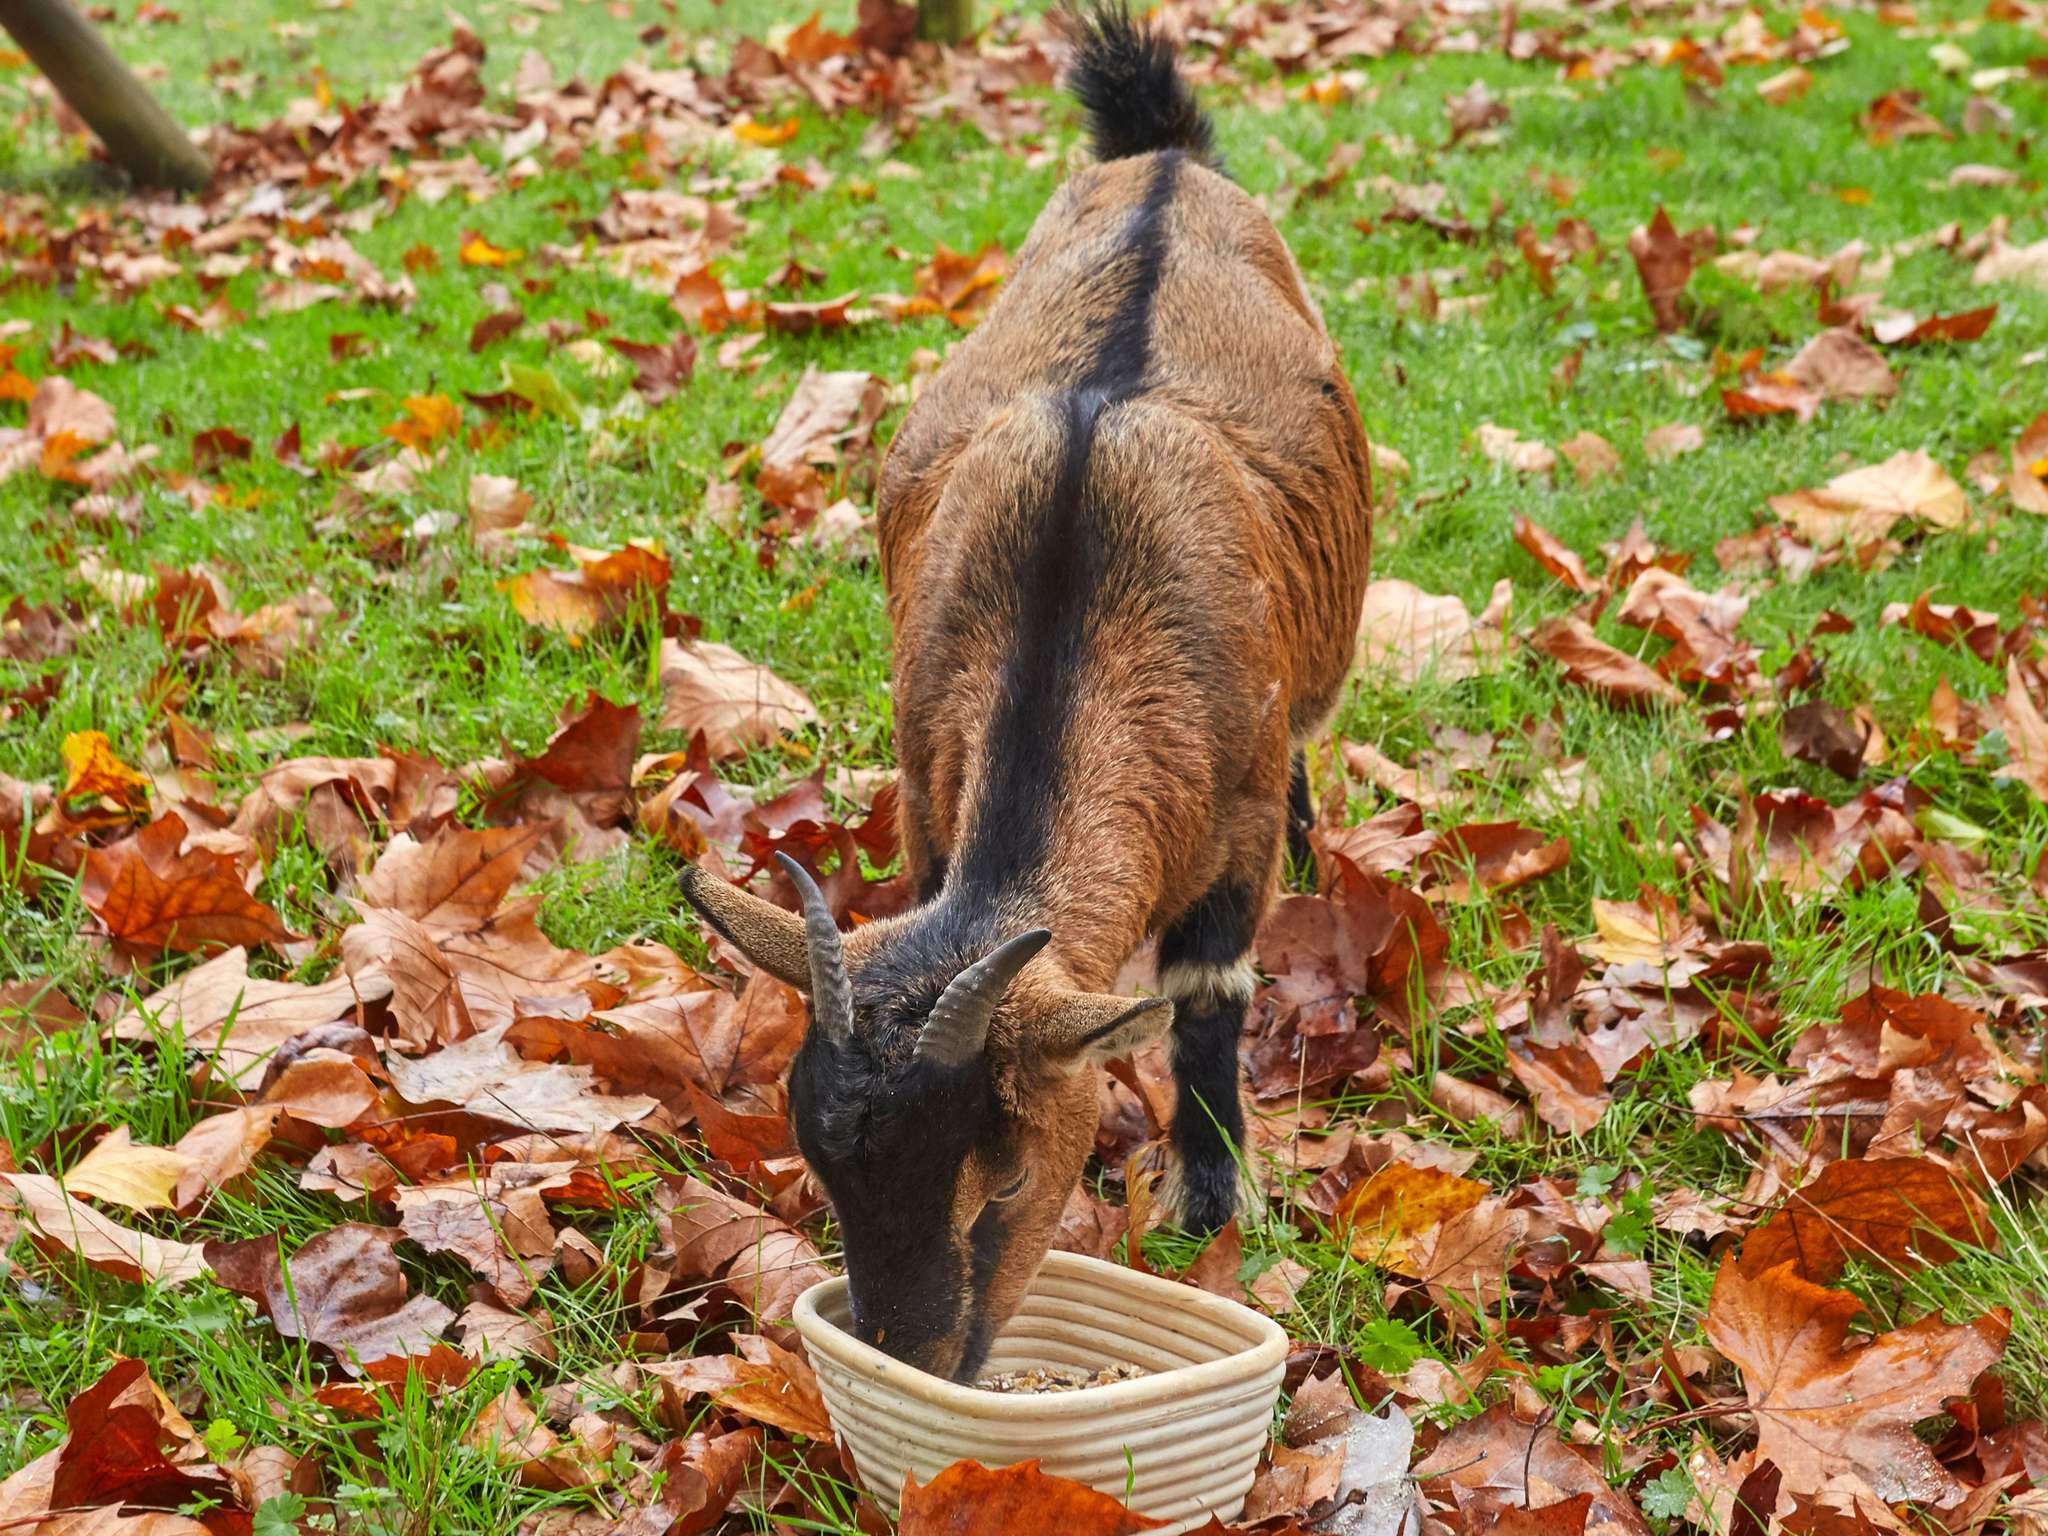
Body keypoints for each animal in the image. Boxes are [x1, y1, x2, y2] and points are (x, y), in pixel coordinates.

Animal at [679, 9, 1368, 1384]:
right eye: (821, 1170)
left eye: (999, 1179)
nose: (919, 1358)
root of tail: (1161, 156)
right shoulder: (924, 790)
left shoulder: (1231, 833)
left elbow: (1207, 1002)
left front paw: (1210, 1197)